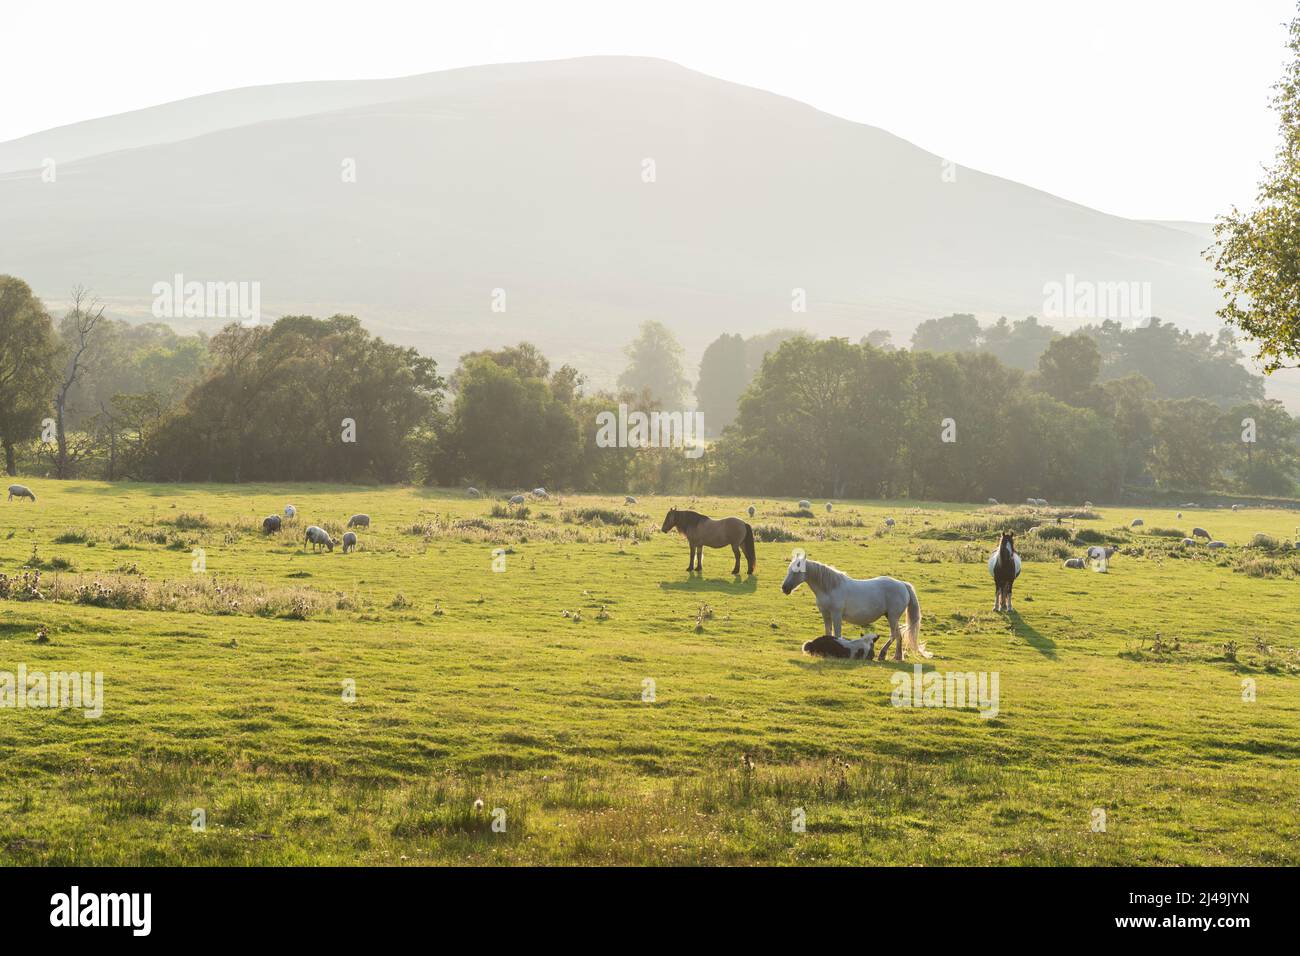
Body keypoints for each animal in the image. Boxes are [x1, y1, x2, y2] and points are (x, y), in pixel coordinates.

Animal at [774, 556, 930, 660]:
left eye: (796, 571)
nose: (784, 588)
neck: (830, 588)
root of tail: (903, 584)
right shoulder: (825, 614)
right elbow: (828, 632)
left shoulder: (836, 615)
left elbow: (837, 634)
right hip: (891, 616)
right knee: (899, 635)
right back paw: (897, 656)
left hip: (892, 616)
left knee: (894, 634)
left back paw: (883, 654)